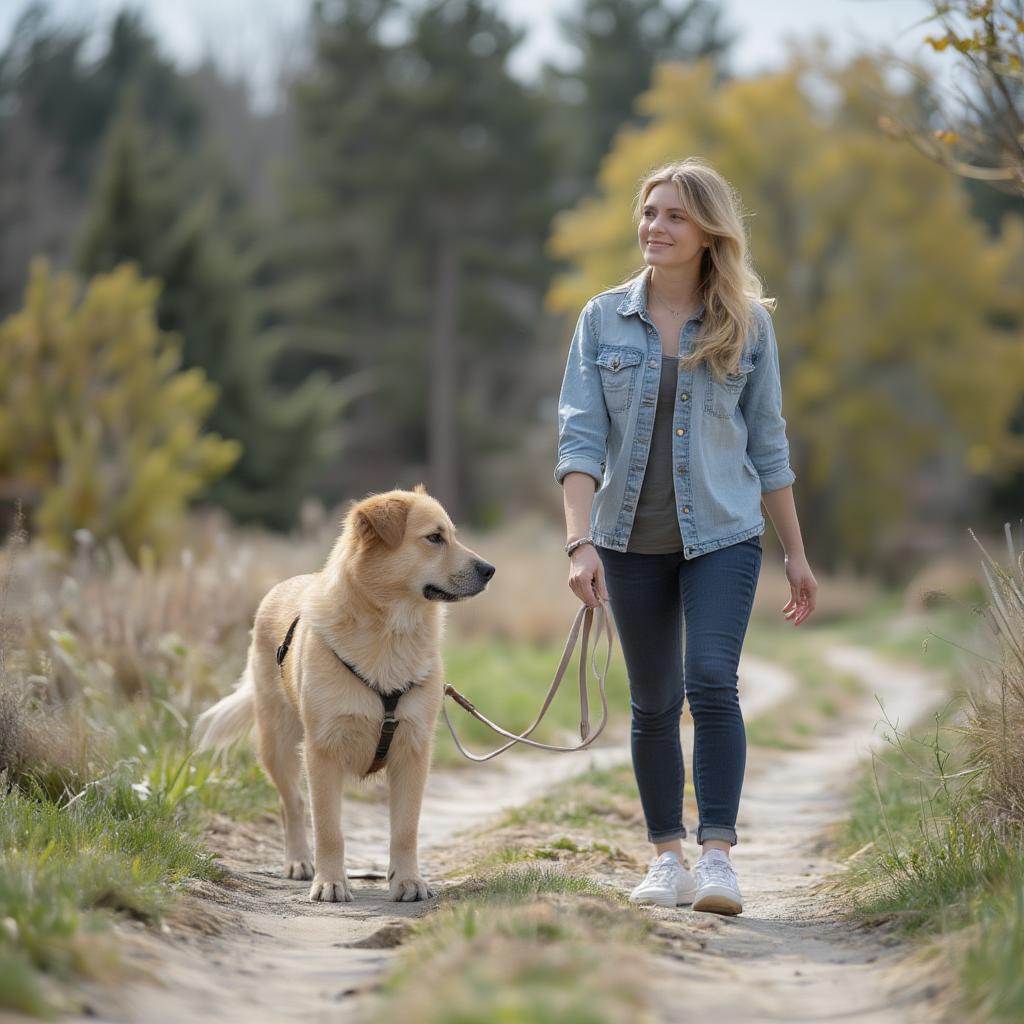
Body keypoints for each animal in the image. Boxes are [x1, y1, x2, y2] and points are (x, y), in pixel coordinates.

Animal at [194, 487, 495, 905]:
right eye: (434, 538)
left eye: (452, 535)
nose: (489, 569)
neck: (390, 631)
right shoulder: (322, 751)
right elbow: (328, 829)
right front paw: (331, 882)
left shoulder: (413, 751)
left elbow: (406, 828)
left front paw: (406, 880)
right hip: (278, 744)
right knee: (292, 804)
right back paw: (299, 861)